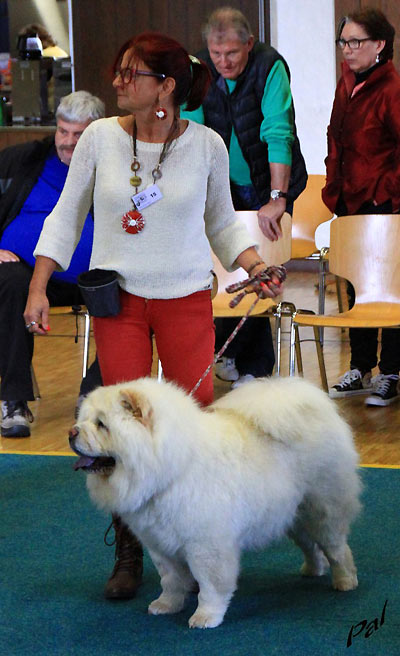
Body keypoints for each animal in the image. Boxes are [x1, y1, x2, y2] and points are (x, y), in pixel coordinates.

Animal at [70, 376, 361, 629]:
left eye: (102, 425)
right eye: (82, 420)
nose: (72, 432)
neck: (171, 469)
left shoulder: (207, 545)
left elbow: (211, 586)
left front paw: (205, 617)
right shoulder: (160, 543)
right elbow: (170, 580)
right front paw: (167, 605)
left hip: (323, 509)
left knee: (337, 549)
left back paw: (345, 581)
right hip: (293, 516)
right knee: (310, 546)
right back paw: (312, 570)